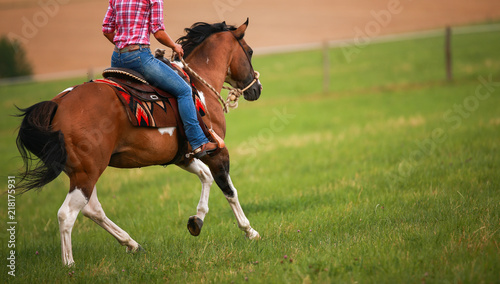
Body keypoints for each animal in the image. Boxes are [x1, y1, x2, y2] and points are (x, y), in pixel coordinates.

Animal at [15, 20, 262, 266]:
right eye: (249, 51)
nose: (256, 88)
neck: (198, 88)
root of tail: (58, 104)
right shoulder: (216, 151)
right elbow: (229, 190)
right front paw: (249, 231)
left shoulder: (183, 156)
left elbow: (206, 177)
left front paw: (196, 221)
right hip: (87, 172)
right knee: (67, 214)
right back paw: (69, 264)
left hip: (81, 172)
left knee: (92, 210)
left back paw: (131, 244)